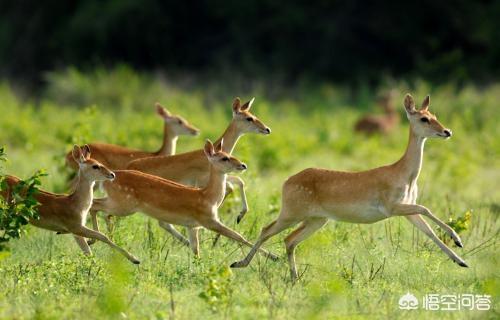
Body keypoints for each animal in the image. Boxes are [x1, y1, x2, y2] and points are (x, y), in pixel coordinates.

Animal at [0, 146, 141, 264]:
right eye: (95, 166)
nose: (112, 174)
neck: (75, 203)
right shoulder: (76, 228)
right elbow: (102, 236)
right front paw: (135, 259)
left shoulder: (77, 232)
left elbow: (88, 252)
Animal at [90, 139, 278, 262]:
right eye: (224, 158)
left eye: (229, 153)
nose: (243, 165)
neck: (208, 197)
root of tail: (109, 178)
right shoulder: (208, 220)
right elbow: (238, 236)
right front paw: (274, 256)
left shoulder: (192, 226)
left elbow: (196, 250)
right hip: (123, 204)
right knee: (94, 205)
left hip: (119, 203)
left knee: (96, 206)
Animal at [232, 94, 466, 282]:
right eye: (424, 118)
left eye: (434, 114)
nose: (447, 131)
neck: (404, 175)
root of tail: (286, 181)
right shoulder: (391, 206)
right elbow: (426, 209)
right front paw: (458, 239)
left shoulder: (406, 207)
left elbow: (428, 231)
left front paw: (461, 258)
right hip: (292, 212)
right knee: (267, 229)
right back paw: (239, 263)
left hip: (317, 219)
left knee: (289, 240)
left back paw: (293, 277)